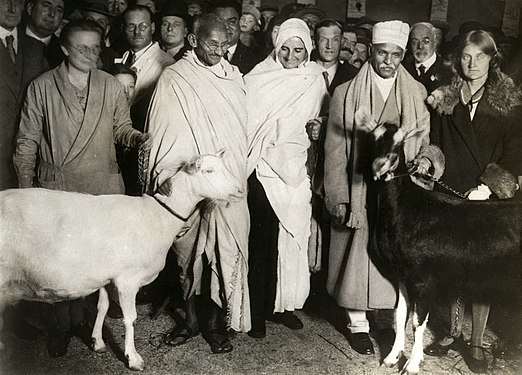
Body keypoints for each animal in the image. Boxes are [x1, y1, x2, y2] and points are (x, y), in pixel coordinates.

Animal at [0, 151, 243, 372]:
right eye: (209, 171)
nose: (240, 190)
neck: (156, 216)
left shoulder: (108, 277)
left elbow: (102, 307)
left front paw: (97, 342)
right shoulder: (128, 279)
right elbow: (130, 318)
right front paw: (133, 358)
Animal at [362, 122, 520, 374]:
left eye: (399, 142)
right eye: (375, 136)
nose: (381, 165)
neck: (403, 206)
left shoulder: (425, 280)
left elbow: (417, 322)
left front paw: (412, 365)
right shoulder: (403, 275)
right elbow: (400, 315)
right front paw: (391, 357)